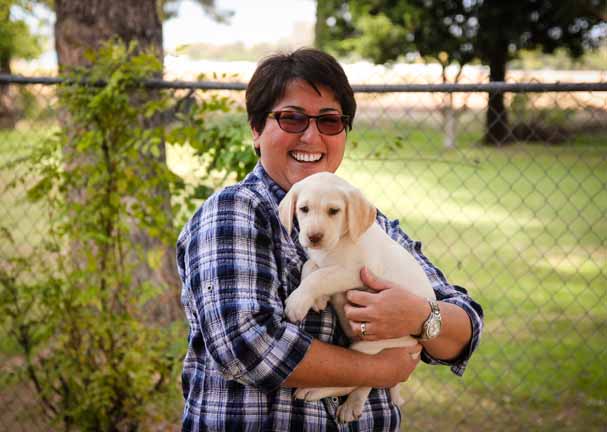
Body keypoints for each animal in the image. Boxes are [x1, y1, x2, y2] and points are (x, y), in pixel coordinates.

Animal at [279, 171, 435, 423]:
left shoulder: (354, 272)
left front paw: (297, 302)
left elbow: (320, 276)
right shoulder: (321, 260)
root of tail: (416, 342)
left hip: (370, 347)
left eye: (334, 211)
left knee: (361, 380)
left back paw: (320, 392)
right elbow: (310, 266)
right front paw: (317, 299)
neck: (339, 243)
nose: (314, 237)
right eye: (303, 209)